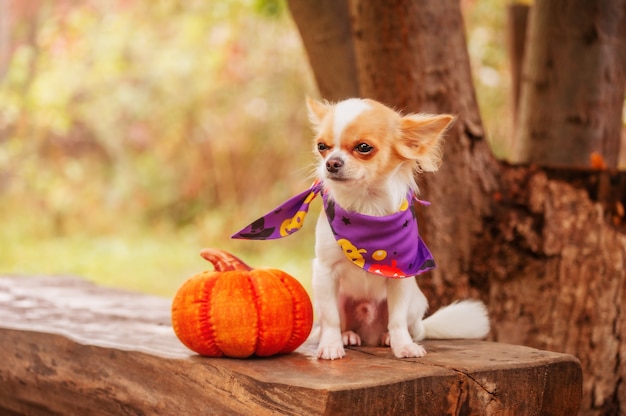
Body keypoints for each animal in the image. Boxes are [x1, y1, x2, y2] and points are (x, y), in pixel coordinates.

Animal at [306, 97, 488, 360]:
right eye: (322, 146)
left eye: (363, 147)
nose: (331, 163)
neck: (367, 205)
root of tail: (368, 332)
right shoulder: (324, 271)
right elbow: (331, 320)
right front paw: (331, 346)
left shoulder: (400, 277)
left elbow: (398, 320)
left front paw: (403, 346)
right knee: (338, 321)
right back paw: (347, 335)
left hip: (416, 303)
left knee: (409, 326)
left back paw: (388, 337)